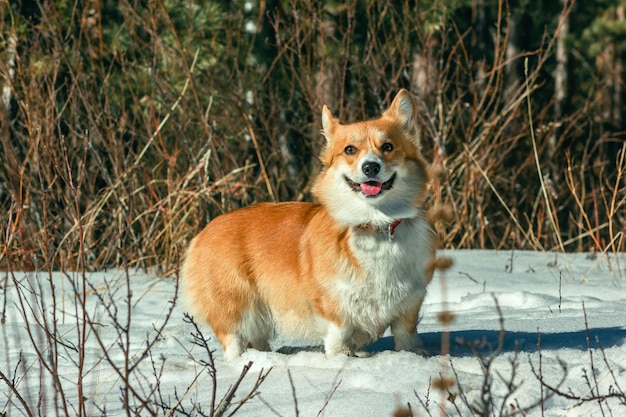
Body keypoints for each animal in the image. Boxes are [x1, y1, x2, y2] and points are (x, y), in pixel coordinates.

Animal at [180, 89, 434, 360]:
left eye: (388, 146)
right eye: (350, 149)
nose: (370, 167)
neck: (375, 224)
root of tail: (202, 233)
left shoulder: (409, 304)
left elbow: (406, 334)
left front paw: (413, 354)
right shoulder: (332, 304)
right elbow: (339, 334)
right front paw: (342, 358)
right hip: (235, 307)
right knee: (233, 339)